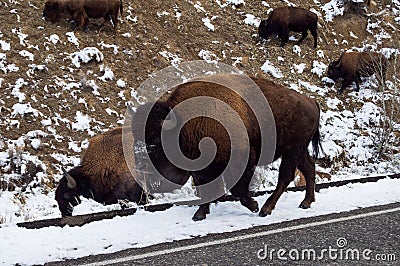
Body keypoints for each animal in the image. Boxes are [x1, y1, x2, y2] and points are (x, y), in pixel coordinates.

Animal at [131, 73, 322, 220]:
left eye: (155, 140)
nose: (140, 166)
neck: (184, 123)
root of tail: (311, 101)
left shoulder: (242, 159)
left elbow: (237, 189)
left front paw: (253, 205)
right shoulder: (201, 167)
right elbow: (205, 188)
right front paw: (199, 214)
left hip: (292, 150)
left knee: (286, 176)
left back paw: (266, 209)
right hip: (298, 149)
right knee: (309, 168)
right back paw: (305, 203)